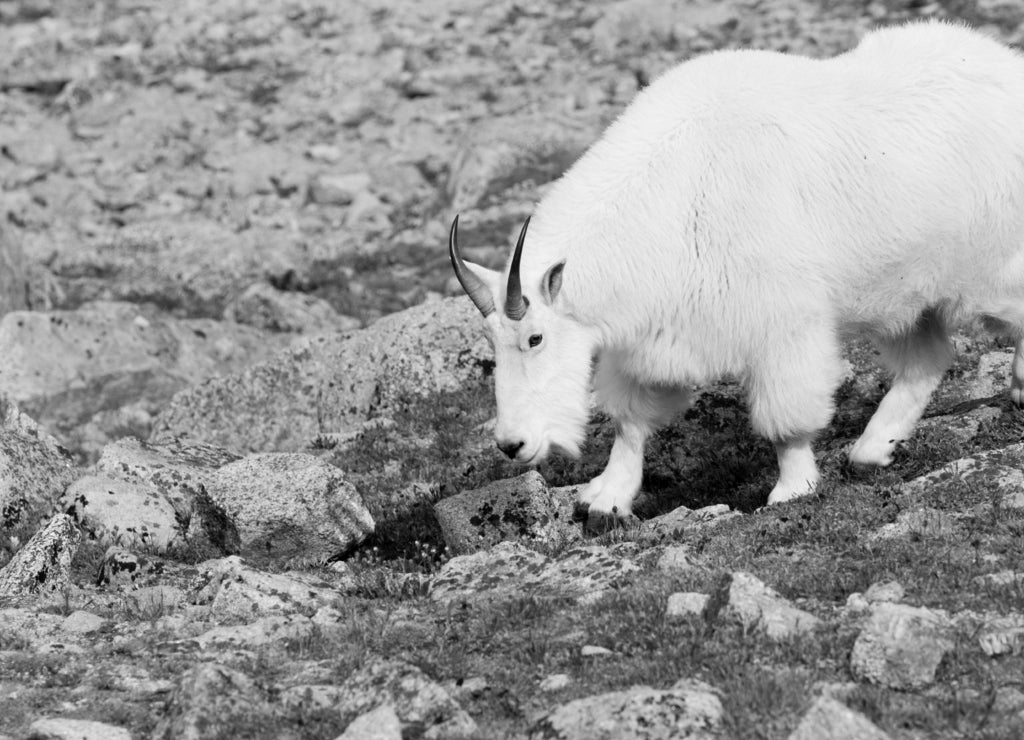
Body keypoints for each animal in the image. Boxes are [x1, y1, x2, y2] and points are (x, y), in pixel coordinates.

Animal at [449, 21, 1024, 527]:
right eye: (490, 343)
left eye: (535, 338)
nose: (512, 444)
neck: (675, 187)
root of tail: (1007, 69)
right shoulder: (651, 335)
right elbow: (631, 420)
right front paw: (605, 499)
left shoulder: (783, 326)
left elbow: (787, 421)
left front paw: (791, 489)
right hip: (906, 291)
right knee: (925, 360)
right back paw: (872, 450)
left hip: (985, 266)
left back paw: (1014, 389)